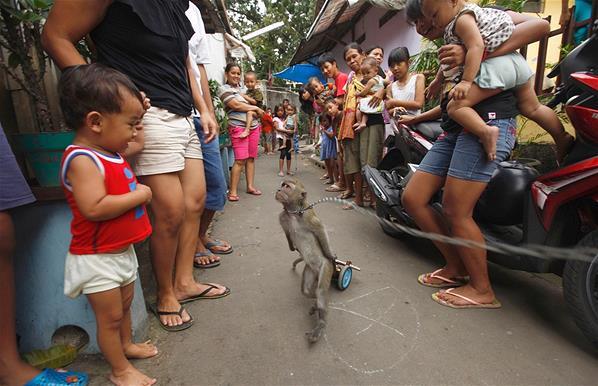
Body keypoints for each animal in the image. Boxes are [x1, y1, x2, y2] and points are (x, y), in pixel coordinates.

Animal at [276, 178, 338, 344]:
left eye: (287, 187)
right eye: (282, 185)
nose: (278, 189)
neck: (293, 213)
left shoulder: (308, 216)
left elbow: (320, 230)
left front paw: (331, 255)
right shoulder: (282, 217)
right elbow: (288, 235)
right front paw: (293, 248)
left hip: (324, 268)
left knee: (321, 290)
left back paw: (320, 323)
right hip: (310, 270)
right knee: (307, 290)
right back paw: (314, 302)